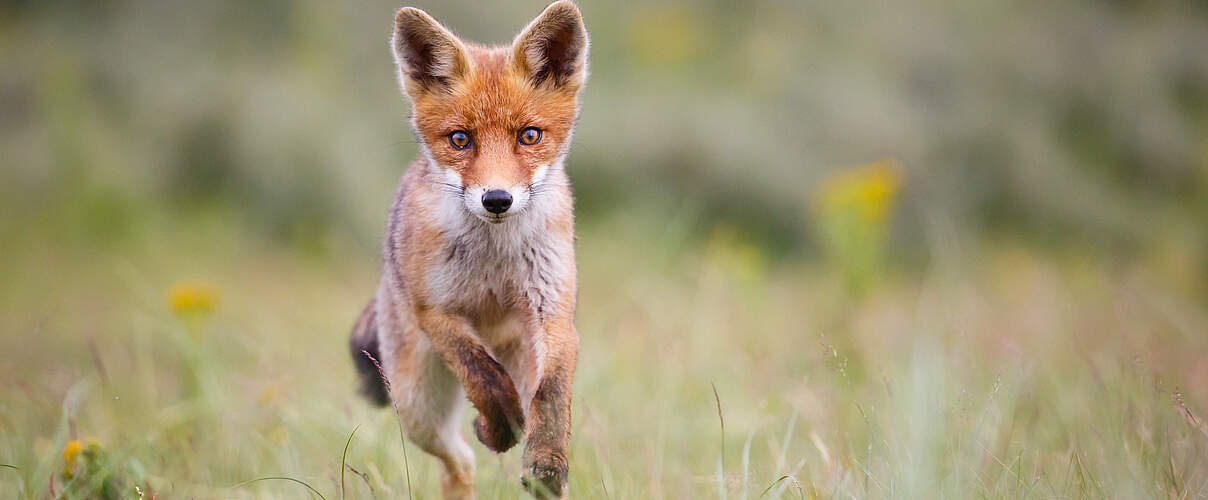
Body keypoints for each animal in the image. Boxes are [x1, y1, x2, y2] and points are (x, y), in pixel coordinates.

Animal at [348, 2, 588, 499]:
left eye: (529, 135)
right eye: (461, 139)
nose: (497, 199)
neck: (494, 263)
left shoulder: (553, 309)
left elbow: (552, 393)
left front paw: (546, 463)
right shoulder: (436, 312)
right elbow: (482, 374)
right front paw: (499, 426)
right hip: (417, 405)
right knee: (458, 460)